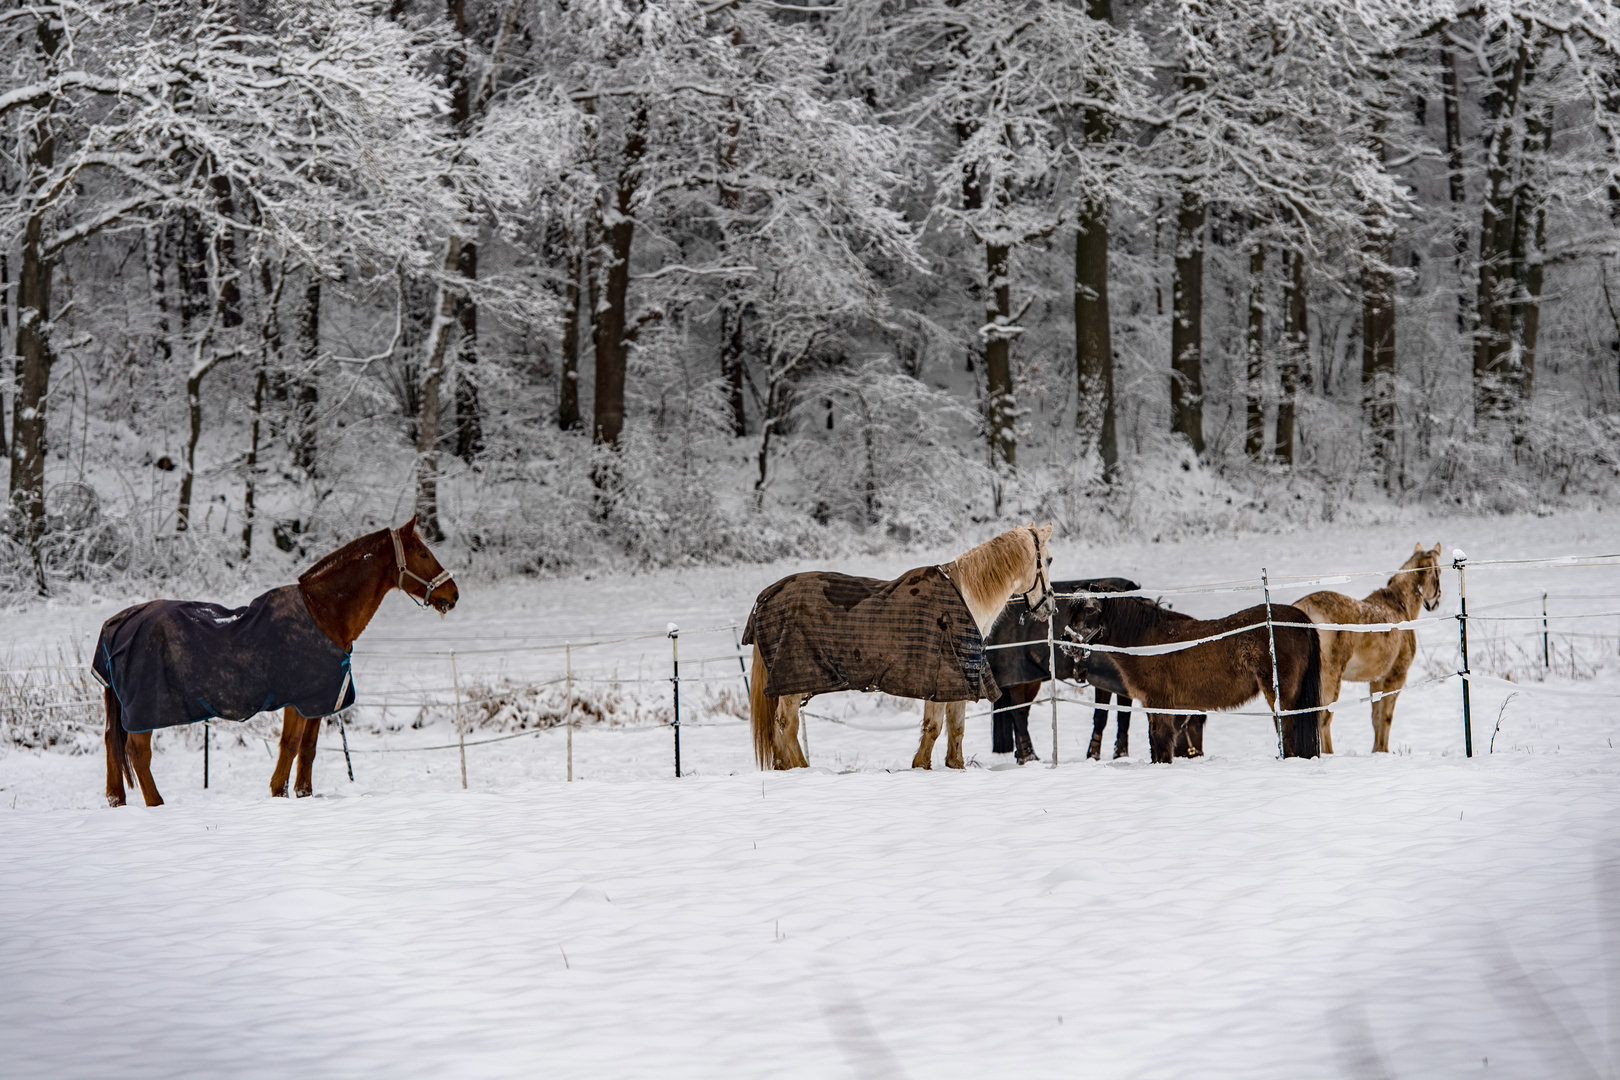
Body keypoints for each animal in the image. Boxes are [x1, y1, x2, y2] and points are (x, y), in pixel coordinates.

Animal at [100, 518, 456, 806]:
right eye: (423, 554)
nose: (453, 594)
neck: (323, 613)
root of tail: (119, 622)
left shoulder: (312, 702)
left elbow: (307, 747)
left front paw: (300, 794)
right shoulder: (302, 700)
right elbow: (291, 746)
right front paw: (280, 795)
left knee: (111, 743)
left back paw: (117, 801)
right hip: (145, 709)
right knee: (137, 751)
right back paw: (156, 804)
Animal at [741, 524, 1056, 767]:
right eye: (1050, 559)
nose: (1049, 606)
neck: (965, 598)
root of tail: (764, 598)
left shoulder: (961, 682)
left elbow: (956, 730)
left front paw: (954, 767)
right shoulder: (939, 680)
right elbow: (933, 728)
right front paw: (920, 767)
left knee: (777, 729)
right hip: (793, 680)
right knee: (787, 724)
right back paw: (804, 769)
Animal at [984, 579, 1205, 764]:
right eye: (1194, 724)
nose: (1196, 754)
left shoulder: (1122, 685)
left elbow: (1123, 717)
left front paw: (1120, 754)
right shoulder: (1104, 681)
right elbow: (1102, 717)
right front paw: (1094, 754)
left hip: (1031, 681)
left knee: (1021, 713)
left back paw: (1023, 755)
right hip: (1018, 678)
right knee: (1019, 715)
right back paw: (1029, 756)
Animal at [1289, 544, 1445, 757]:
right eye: (1439, 571)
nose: (1436, 602)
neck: (1400, 605)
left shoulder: (1377, 679)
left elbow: (1375, 717)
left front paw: (1376, 751)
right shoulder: (1396, 676)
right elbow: (1386, 717)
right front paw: (1383, 751)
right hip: (1329, 680)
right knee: (1323, 720)